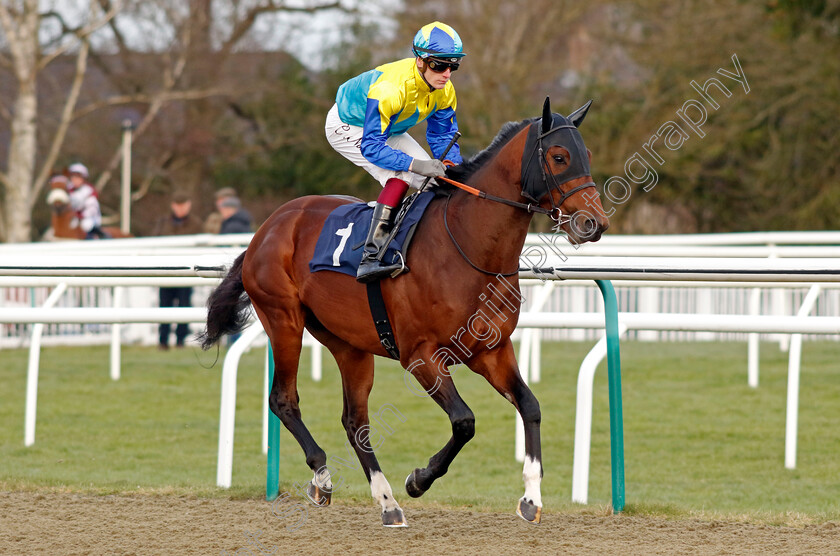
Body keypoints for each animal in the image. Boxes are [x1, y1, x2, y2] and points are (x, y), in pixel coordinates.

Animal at [200, 97, 608, 528]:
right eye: (560, 157)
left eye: (587, 154)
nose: (594, 223)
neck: (467, 246)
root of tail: (268, 227)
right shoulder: (420, 356)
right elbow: (464, 421)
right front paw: (419, 479)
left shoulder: (491, 351)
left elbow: (530, 406)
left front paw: (530, 497)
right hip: (284, 320)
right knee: (284, 399)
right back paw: (323, 479)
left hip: (347, 343)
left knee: (355, 421)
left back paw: (387, 501)